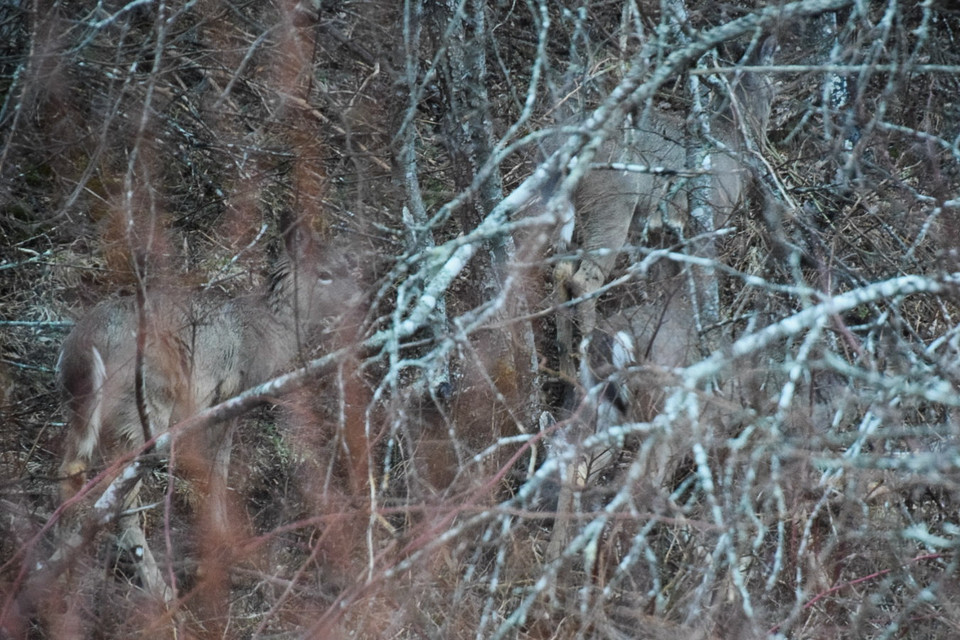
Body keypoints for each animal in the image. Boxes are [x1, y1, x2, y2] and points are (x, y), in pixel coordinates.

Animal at [53, 220, 352, 600]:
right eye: (325, 274)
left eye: (346, 264)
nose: (359, 297)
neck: (269, 332)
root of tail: (87, 343)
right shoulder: (232, 394)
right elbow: (218, 468)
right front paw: (225, 544)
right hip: (146, 404)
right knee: (119, 497)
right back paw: (161, 591)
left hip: (83, 408)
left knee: (71, 472)